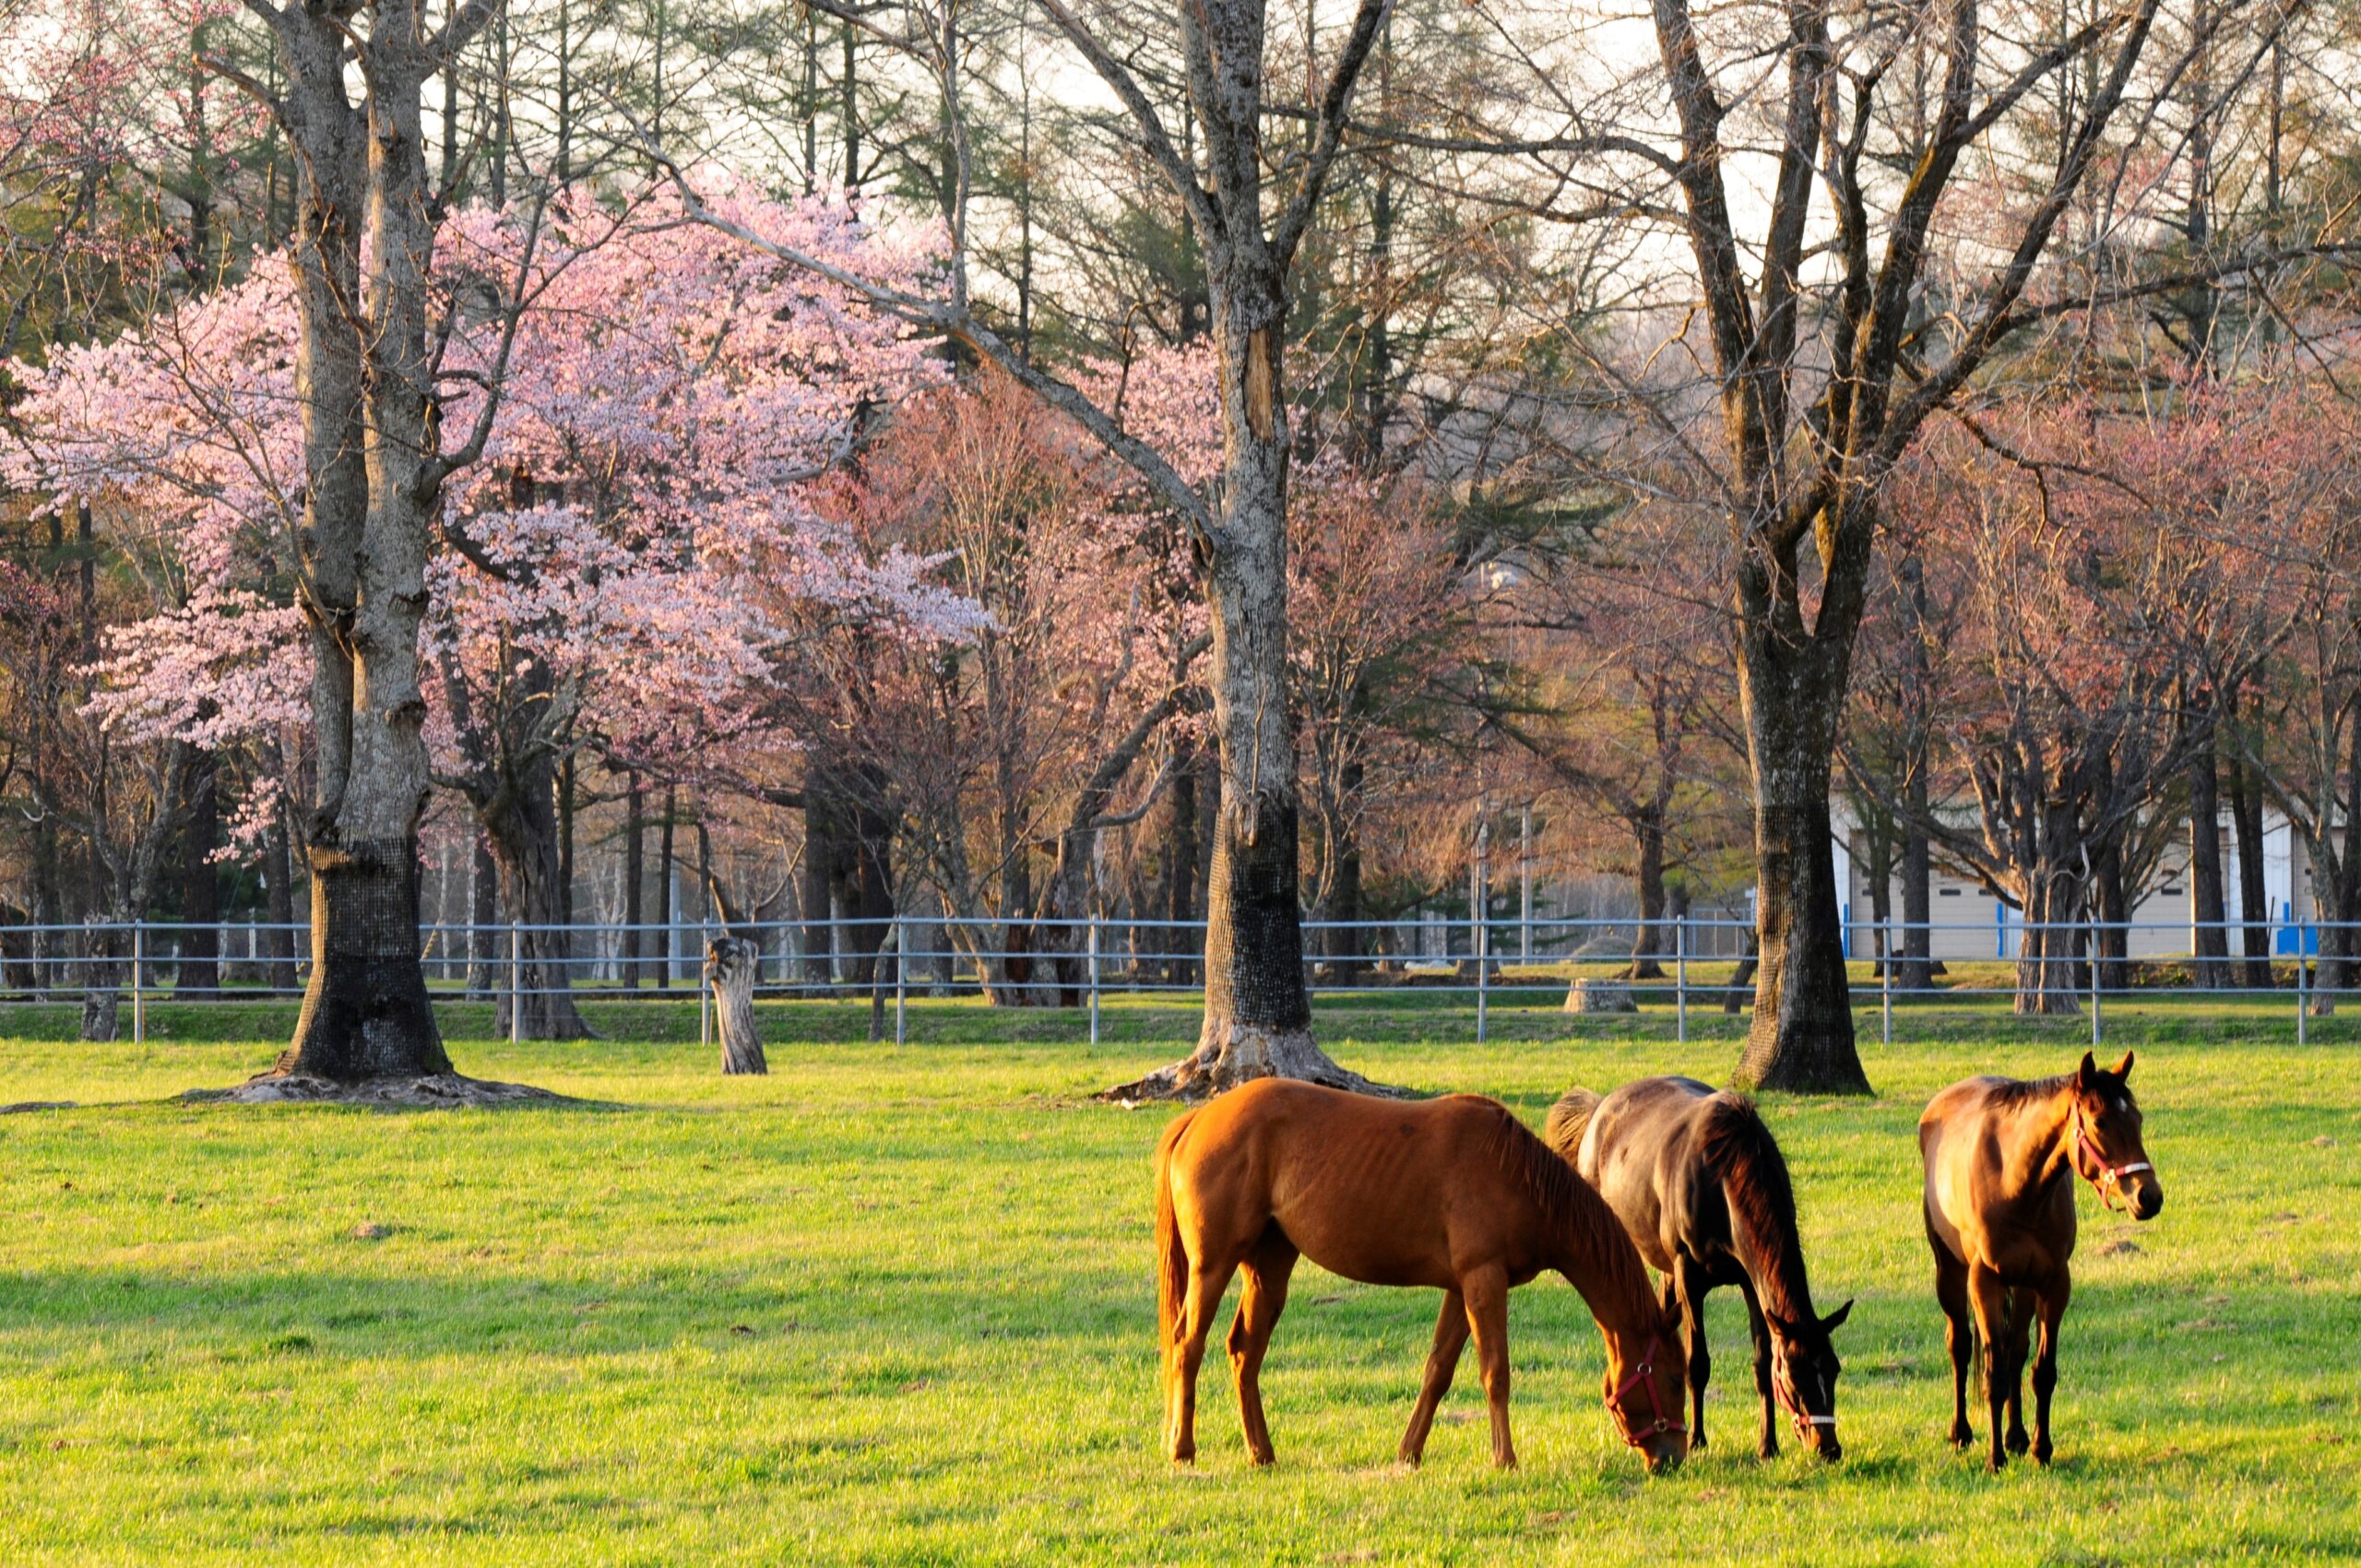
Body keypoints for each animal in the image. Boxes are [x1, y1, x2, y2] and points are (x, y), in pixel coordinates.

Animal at [1152, 1076, 1690, 1473]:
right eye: (1674, 1378)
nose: (1673, 1457)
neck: (1516, 1175)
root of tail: (1198, 1118)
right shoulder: (1483, 1280)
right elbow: (1495, 1372)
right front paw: (1505, 1459)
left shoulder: (1460, 1287)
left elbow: (1438, 1371)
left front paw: (1409, 1451)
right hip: (1212, 1266)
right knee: (1188, 1345)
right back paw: (1182, 1448)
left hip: (1269, 1268)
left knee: (1245, 1351)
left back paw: (1261, 1453)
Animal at [1558, 1076, 1851, 1455]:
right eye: (1793, 1375)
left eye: (1833, 1369)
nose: (1828, 1448)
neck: (1722, 1182)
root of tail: (1599, 1109)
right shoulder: (1690, 1275)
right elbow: (1697, 1362)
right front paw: (1697, 1438)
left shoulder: (1750, 1280)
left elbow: (1760, 1363)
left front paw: (1767, 1445)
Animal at [1916, 1052, 2162, 1473]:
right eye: (2100, 1122)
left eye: (2138, 1119)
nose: (2149, 1196)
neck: (2016, 1182)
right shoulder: (1985, 1282)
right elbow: (1993, 1373)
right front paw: (1994, 1459)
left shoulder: (2053, 1282)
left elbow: (2041, 1370)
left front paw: (2040, 1449)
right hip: (1950, 1272)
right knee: (1961, 1346)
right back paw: (1962, 1432)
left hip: (2024, 1285)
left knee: (2016, 1350)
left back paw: (2016, 1436)